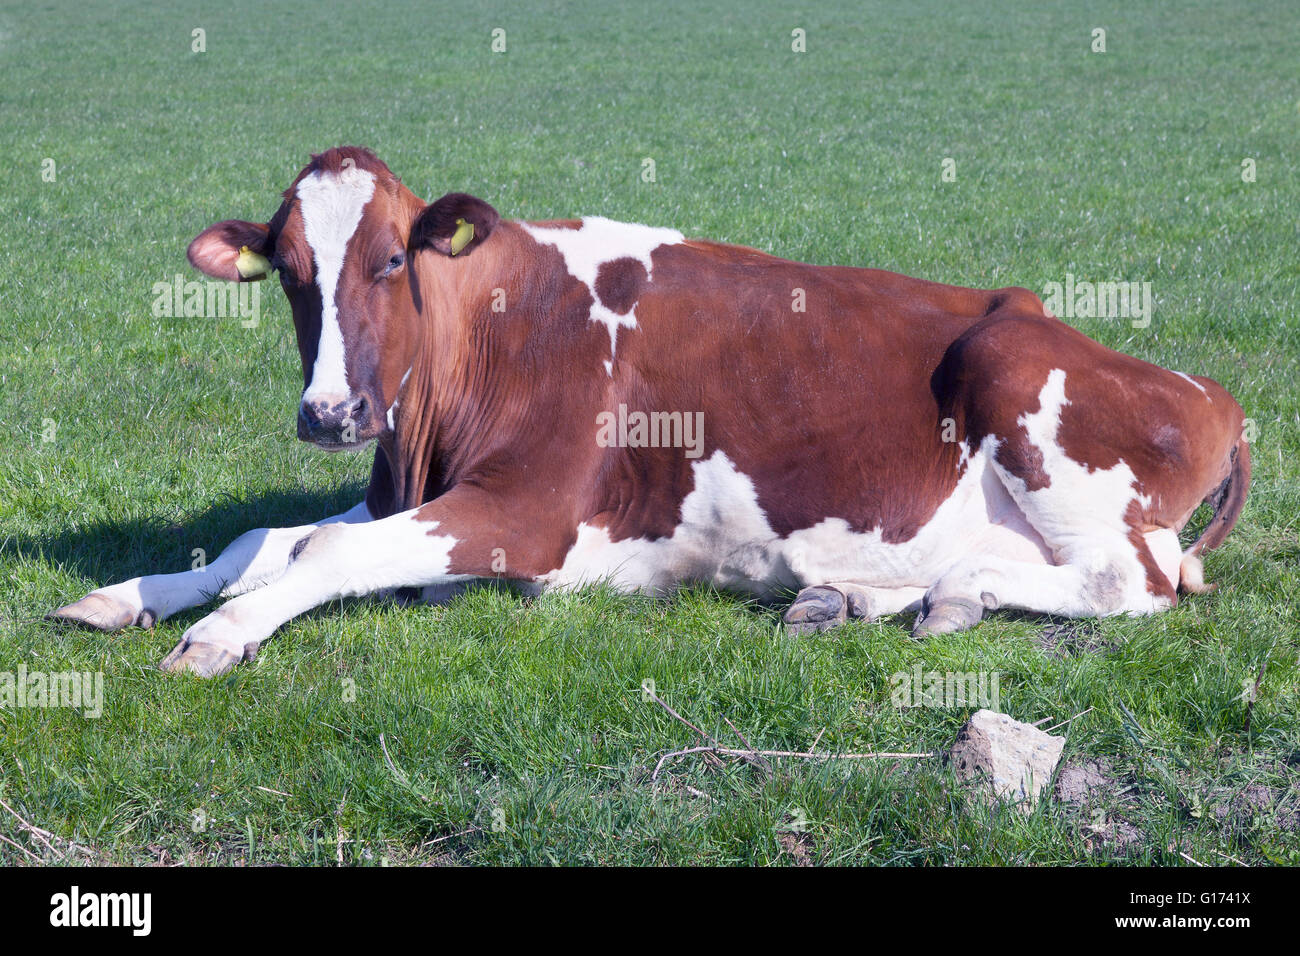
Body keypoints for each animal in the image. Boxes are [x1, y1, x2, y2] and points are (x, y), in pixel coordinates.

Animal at [51, 146, 1251, 677]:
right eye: (292, 273)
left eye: (391, 259)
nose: (331, 413)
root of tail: (1214, 394)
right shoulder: (407, 491)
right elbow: (267, 536)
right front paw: (128, 595)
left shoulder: (526, 513)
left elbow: (321, 557)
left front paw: (221, 632)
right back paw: (857, 598)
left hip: (1021, 379)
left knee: (1128, 585)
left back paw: (949, 595)